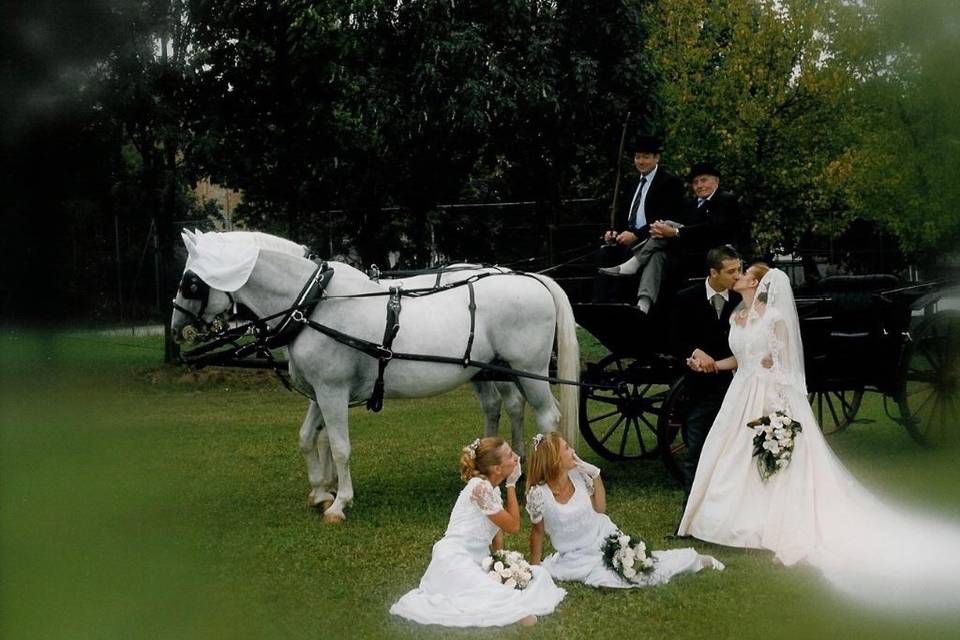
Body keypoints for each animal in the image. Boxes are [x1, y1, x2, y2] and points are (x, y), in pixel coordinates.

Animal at [172, 230, 576, 520]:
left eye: (191, 282)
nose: (177, 330)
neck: (313, 305)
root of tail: (531, 278)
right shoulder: (321, 391)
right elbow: (308, 437)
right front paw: (320, 491)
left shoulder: (332, 390)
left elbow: (338, 445)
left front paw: (338, 503)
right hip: (496, 371)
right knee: (507, 408)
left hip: (531, 372)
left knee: (547, 416)